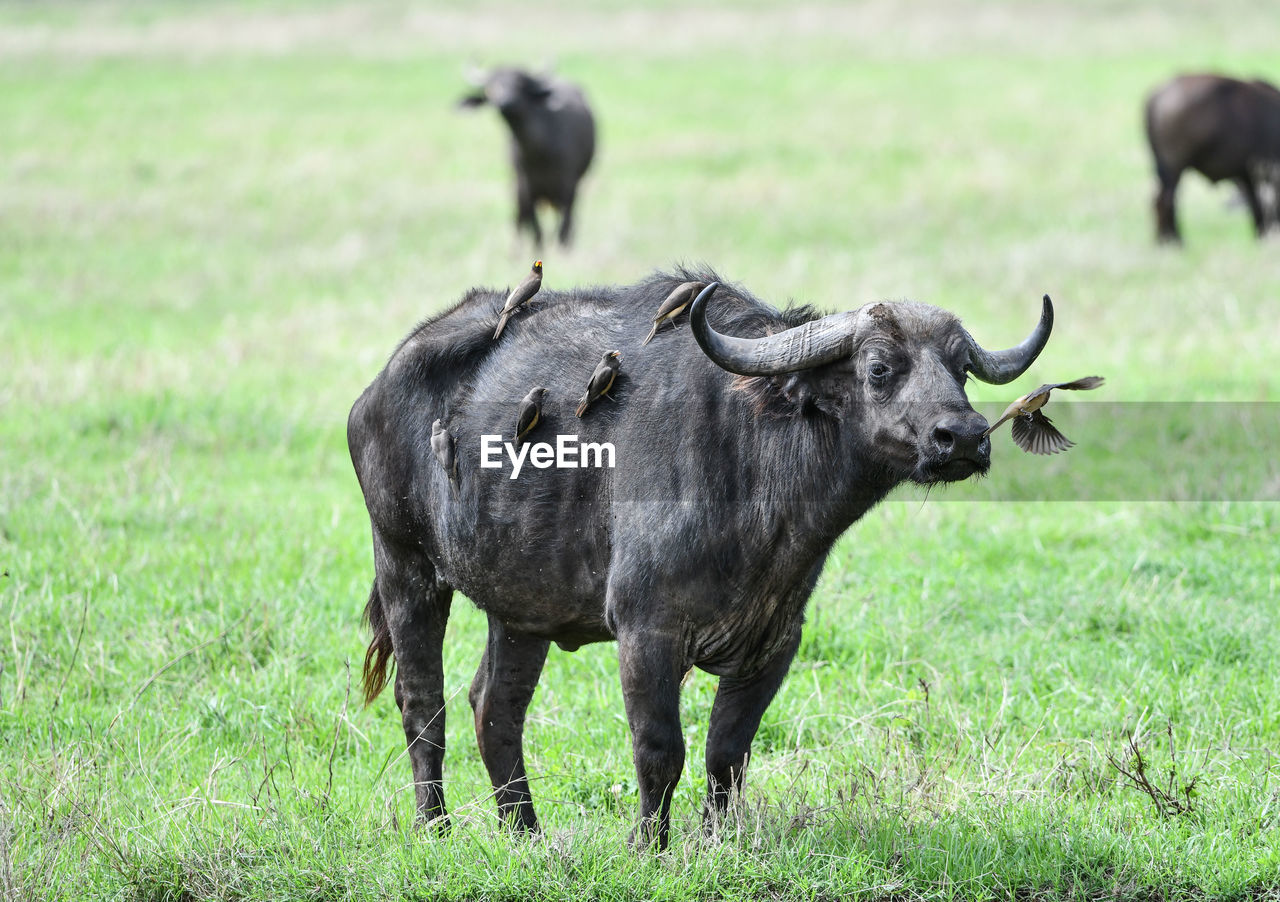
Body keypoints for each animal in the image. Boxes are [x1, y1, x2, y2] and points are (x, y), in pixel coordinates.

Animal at [348, 271, 1049, 849]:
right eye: (879, 367)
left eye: (961, 370)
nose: (964, 437)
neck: (752, 460)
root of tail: (376, 390)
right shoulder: (646, 633)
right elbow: (661, 748)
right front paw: (649, 846)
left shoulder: (775, 642)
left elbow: (726, 752)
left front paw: (713, 840)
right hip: (405, 566)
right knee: (423, 702)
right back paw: (435, 827)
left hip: (521, 610)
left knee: (495, 706)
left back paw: (526, 834)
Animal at [460, 65, 599, 245]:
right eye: (490, 86)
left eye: (519, 84)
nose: (504, 102)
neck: (539, 153)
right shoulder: (525, 191)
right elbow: (536, 233)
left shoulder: (569, 190)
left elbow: (564, 232)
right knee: (519, 222)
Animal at [1146, 72, 1280, 243]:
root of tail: (1157, 96)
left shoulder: (1247, 176)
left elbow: (1256, 206)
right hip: (1174, 169)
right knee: (1166, 201)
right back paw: (1175, 241)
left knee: (1161, 200)